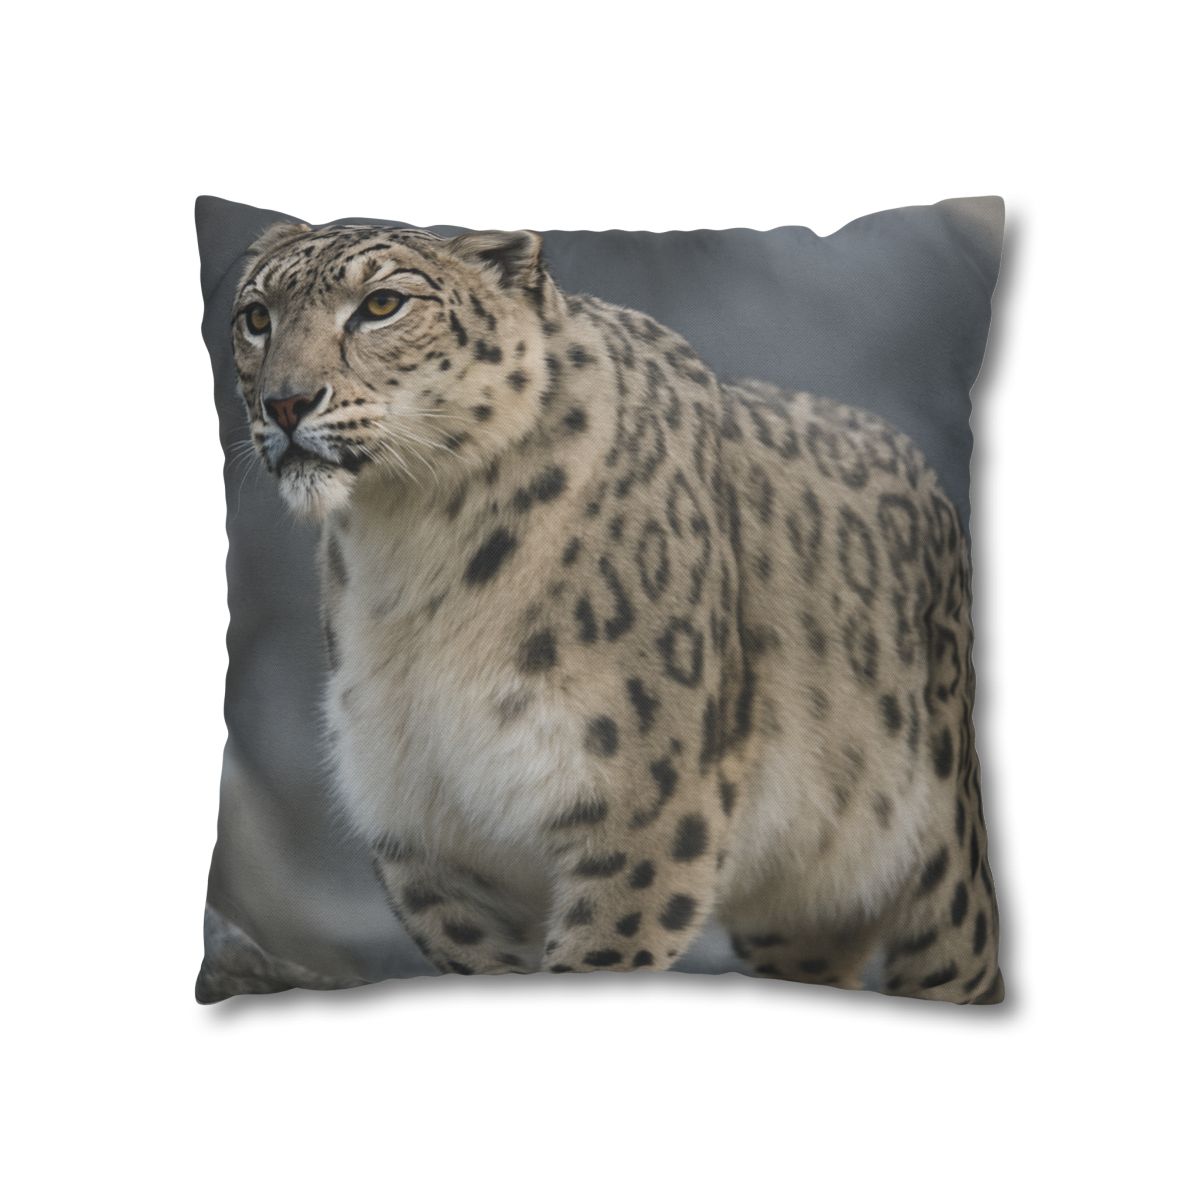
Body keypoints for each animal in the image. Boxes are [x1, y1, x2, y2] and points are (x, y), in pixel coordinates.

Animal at [230, 220, 1003, 1003]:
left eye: (383, 304)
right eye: (256, 317)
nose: (285, 403)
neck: (410, 552)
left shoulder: (643, 810)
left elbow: (598, 954)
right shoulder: (425, 831)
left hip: (947, 878)